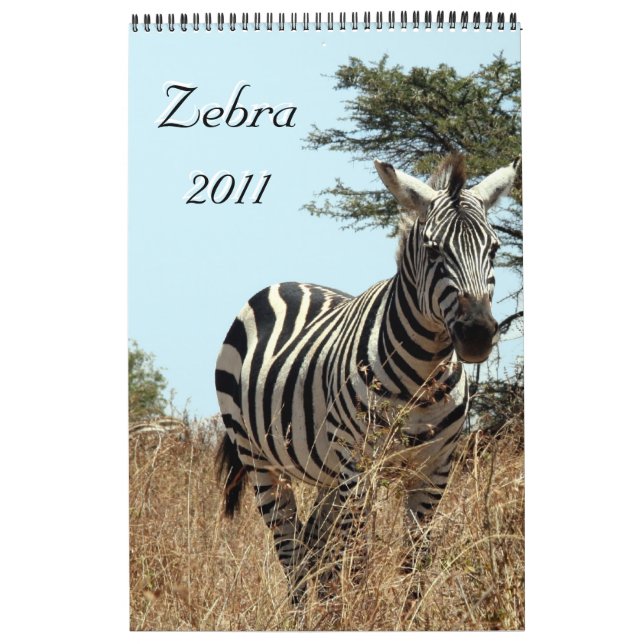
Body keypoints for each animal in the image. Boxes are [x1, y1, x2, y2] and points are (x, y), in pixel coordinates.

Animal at [214, 152, 519, 602]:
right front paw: (360, 611)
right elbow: (358, 561)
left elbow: (414, 562)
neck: (422, 380)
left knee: (314, 547)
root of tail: (285, 283)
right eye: (433, 251)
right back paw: (304, 611)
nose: (478, 333)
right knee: (291, 549)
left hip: (327, 471)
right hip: (260, 459)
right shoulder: (359, 470)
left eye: (495, 249)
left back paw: (325, 609)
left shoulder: (434, 472)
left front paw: (408, 613)